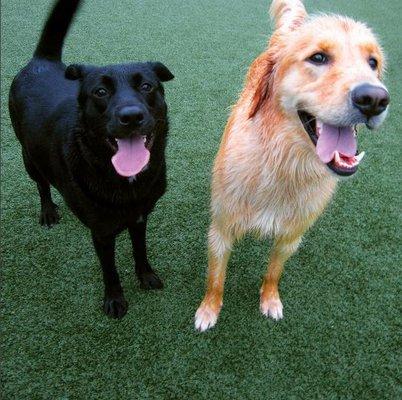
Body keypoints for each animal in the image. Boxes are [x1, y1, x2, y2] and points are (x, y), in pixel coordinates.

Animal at [8, 0, 174, 318]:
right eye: (100, 91)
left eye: (146, 86)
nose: (131, 117)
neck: (126, 182)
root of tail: (41, 61)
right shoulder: (101, 233)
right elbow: (110, 270)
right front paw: (115, 299)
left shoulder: (140, 217)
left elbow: (140, 249)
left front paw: (145, 275)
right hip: (29, 157)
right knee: (42, 184)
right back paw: (47, 211)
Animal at [195, 0, 390, 332]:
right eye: (318, 57)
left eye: (373, 62)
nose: (375, 98)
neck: (283, 163)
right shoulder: (221, 229)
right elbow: (216, 279)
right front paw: (209, 309)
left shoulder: (290, 236)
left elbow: (273, 272)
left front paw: (270, 299)